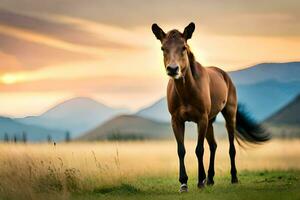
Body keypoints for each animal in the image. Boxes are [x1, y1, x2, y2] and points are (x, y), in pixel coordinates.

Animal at [151, 21, 270, 192]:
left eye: (184, 47)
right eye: (163, 48)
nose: (173, 69)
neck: (187, 91)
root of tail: (224, 74)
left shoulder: (201, 119)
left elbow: (199, 150)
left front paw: (200, 180)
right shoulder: (177, 121)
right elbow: (181, 150)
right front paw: (184, 183)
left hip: (229, 115)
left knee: (231, 148)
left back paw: (233, 178)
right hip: (210, 121)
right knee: (213, 145)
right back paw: (211, 178)